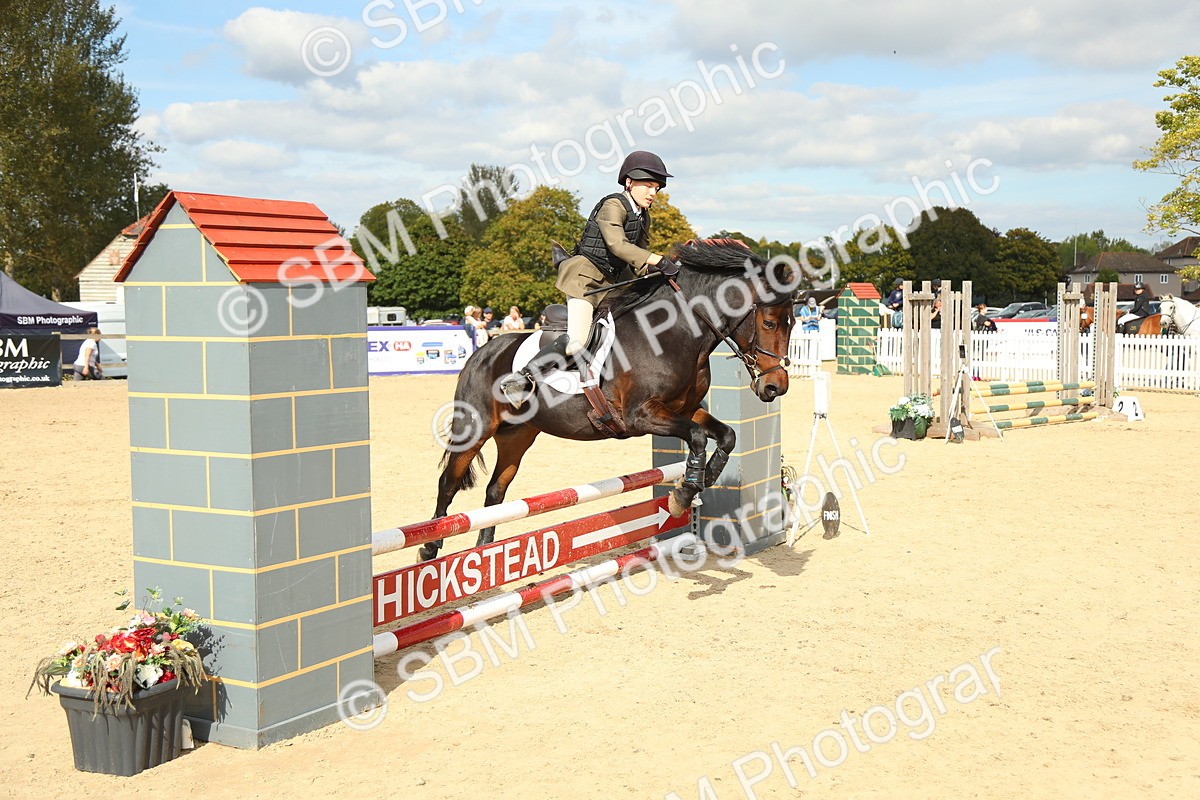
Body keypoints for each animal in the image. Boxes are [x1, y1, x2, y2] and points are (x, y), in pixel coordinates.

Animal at [419, 239, 797, 561]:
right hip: (475, 428)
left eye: (792, 322)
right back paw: (430, 547)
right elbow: (698, 437)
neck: (675, 334)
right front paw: (682, 495)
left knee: (496, 491)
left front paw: (708, 476)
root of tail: (483, 350)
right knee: (448, 483)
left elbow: (725, 435)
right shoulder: (640, 416)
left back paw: (484, 552)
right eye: (768, 322)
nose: (775, 387)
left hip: (518, 436)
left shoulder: (686, 410)